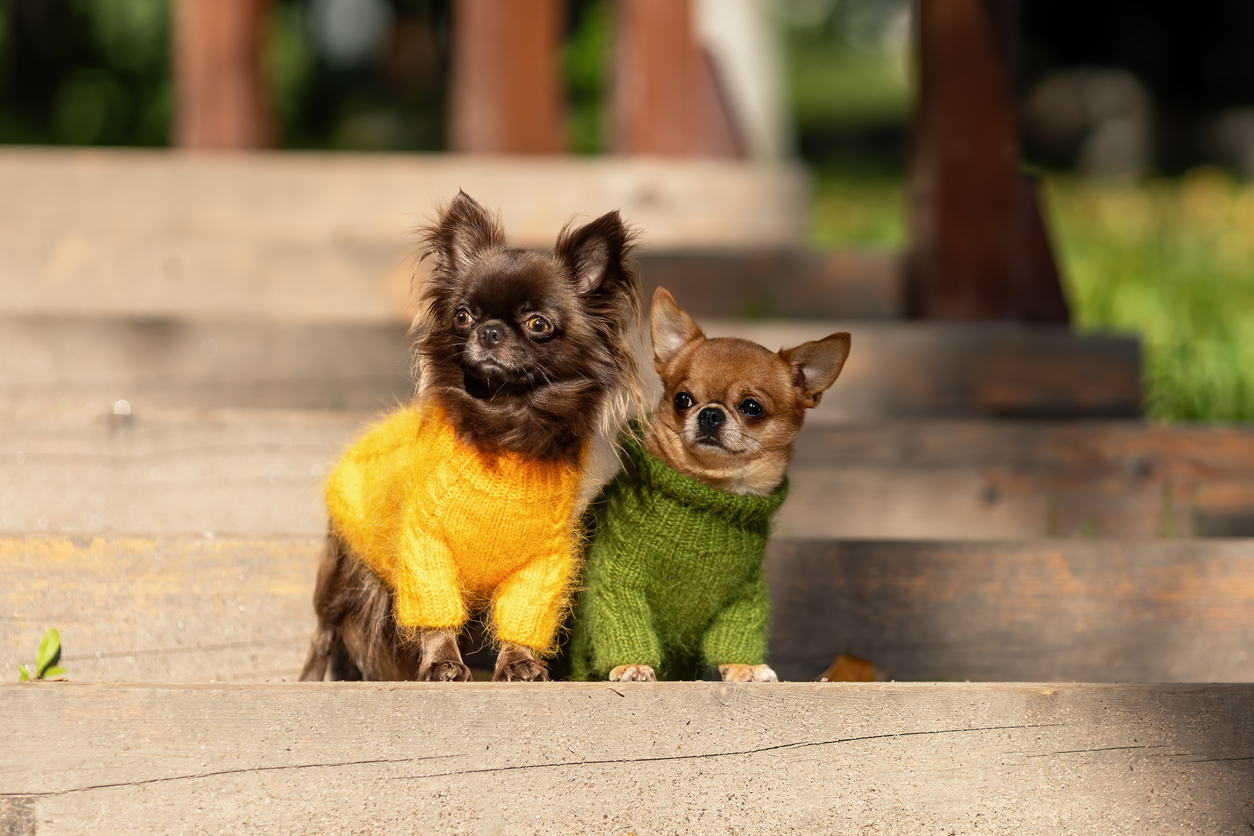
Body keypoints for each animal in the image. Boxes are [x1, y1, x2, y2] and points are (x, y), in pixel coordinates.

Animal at [298, 193, 642, 681]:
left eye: (538, 324)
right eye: (463, 316)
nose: (489, 330)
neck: (505, 420)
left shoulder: (543, 565)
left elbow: (522, 619)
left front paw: (520, 664)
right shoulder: (425, 546)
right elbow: (436, 614)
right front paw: (443, 664)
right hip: (343, 574)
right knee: (324, 632)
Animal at [571, 285, 852, 681]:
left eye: (752, 407)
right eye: (682, 399)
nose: (710, 414)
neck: (709, 491)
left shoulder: (743, 594)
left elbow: (737, 632)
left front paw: (744, 666)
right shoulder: (616, 578)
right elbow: (623, 622)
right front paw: (631, 663)